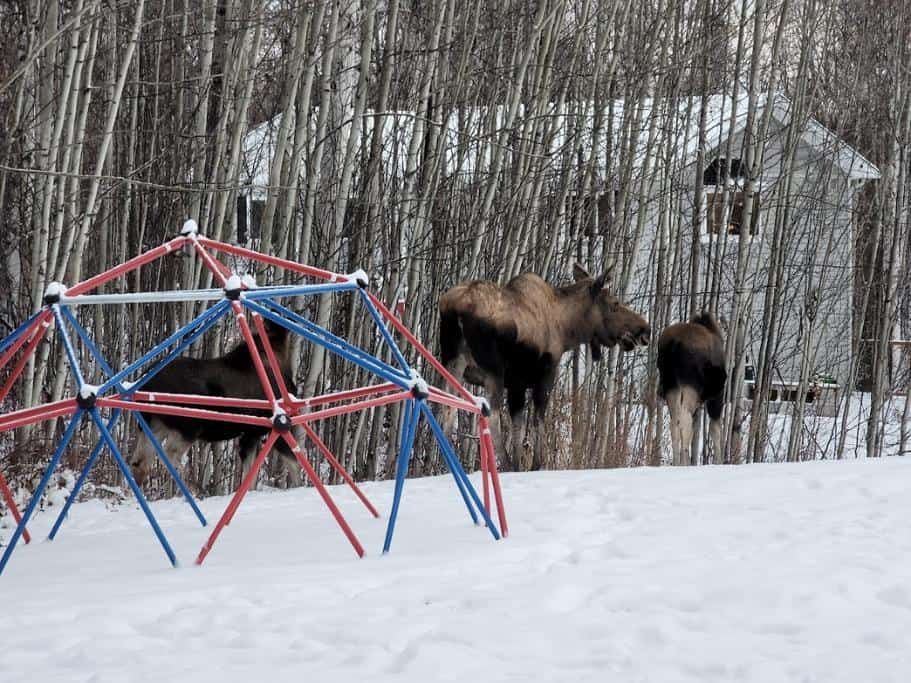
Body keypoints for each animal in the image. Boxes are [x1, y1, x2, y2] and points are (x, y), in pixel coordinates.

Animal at [127, 316, 304, 490]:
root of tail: (143, 384)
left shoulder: (251, 433)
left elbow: (250, 476)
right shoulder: (273, 427)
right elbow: (294, 464)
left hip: (153, 424)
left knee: (139, 463)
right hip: (189, 425)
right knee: (170, 453)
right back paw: (196, 487)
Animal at [439, 263, 651, 471]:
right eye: (615, 303)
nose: (645, 329)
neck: (567, 330)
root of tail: (455, 309)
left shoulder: (517, 384)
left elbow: (518, 428)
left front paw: (518, 466)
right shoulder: (545, 375)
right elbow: (537, 422)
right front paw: (534, 465)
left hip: (452, 361)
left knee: (447, 408)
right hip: (493, 370)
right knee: (490, 416)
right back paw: (503, 464)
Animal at [656, 312, 727, 466]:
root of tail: (674, 343)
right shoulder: (717, 395)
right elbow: (715, 430)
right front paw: (719, 461)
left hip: (671, 385)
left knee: (674, 422)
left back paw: (677, 462)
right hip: (690, 386)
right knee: (684, 419)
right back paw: (684, 461)